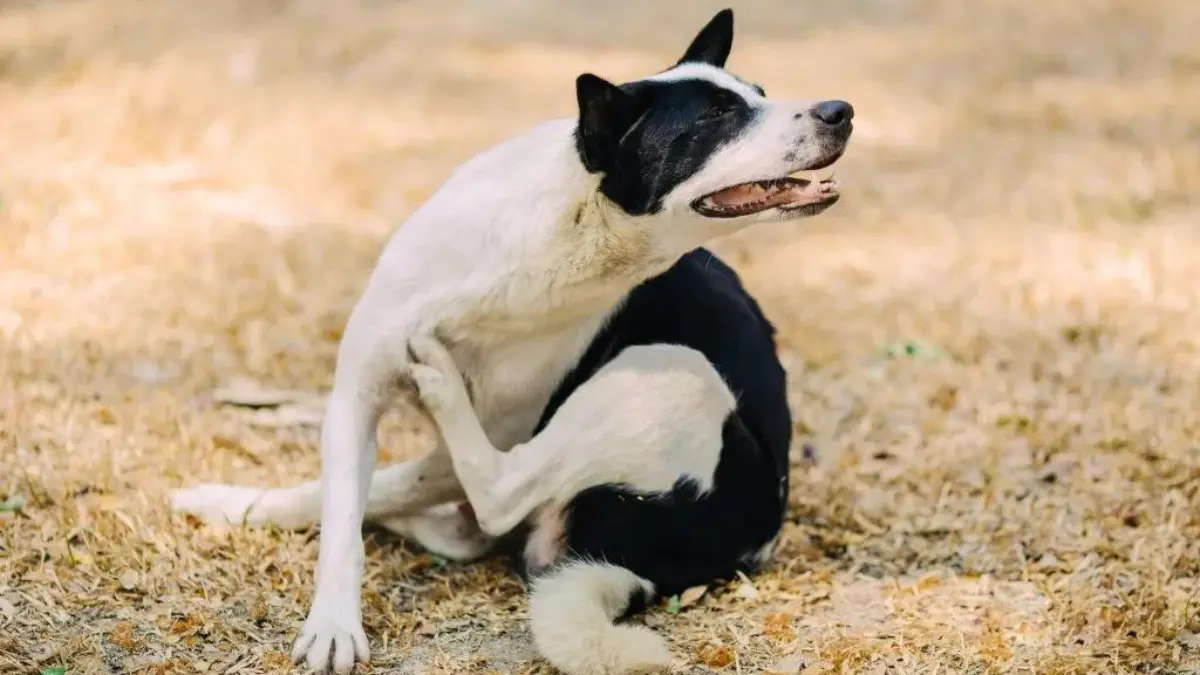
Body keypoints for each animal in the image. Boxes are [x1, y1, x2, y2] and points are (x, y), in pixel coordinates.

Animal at [171, 10, 854, 672]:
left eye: (757, 94)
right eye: (719, 116)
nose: (840, 111)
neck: (567, 231)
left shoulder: (498, 427)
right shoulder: (357, 393)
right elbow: (343, 516)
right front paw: (330, 620)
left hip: (672, 370)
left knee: (496, 495)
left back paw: (437, 387)